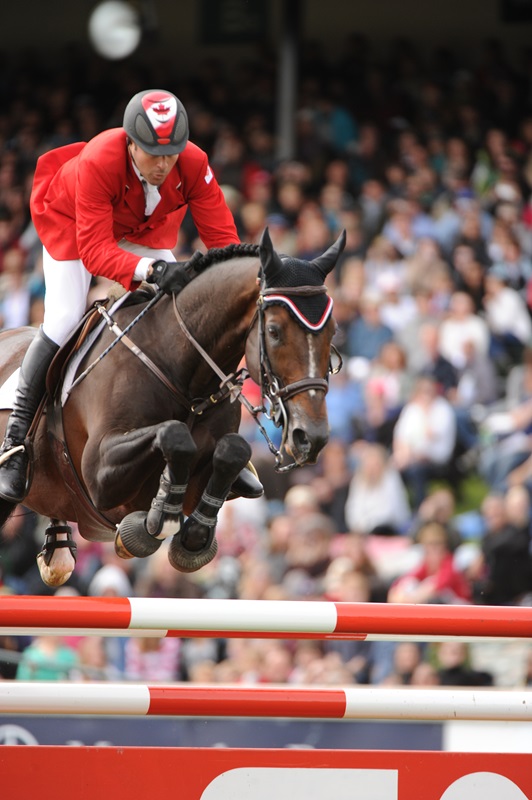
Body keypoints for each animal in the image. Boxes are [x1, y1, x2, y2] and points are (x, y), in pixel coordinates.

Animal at [0, 228, 345, 587]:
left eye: (333, 331)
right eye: (275, 332)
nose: (311, 437)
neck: (185, 374)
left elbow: (233, 450)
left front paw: (192, 534)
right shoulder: (99, 473)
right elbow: (176, 434)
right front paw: (156, 520)